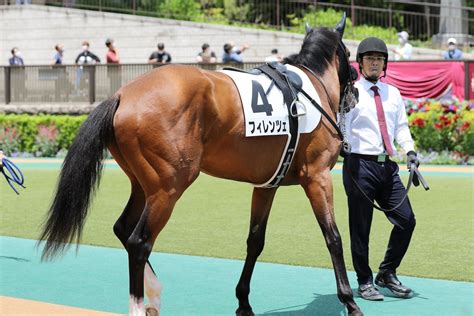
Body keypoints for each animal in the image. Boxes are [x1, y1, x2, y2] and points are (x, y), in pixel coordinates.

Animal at [39, 14, 362, 316]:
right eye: (349, 53)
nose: (355, 95)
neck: (311, 89)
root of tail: (121, 95)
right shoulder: (317, 176)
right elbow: (333, 237)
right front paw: (349, 300)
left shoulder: (266, 185)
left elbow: (255, 241)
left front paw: (243, 301)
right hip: (168, 187)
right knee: (139, 241)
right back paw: (141, 302)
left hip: (143, 184)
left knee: (123, 228)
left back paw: (154, 292)